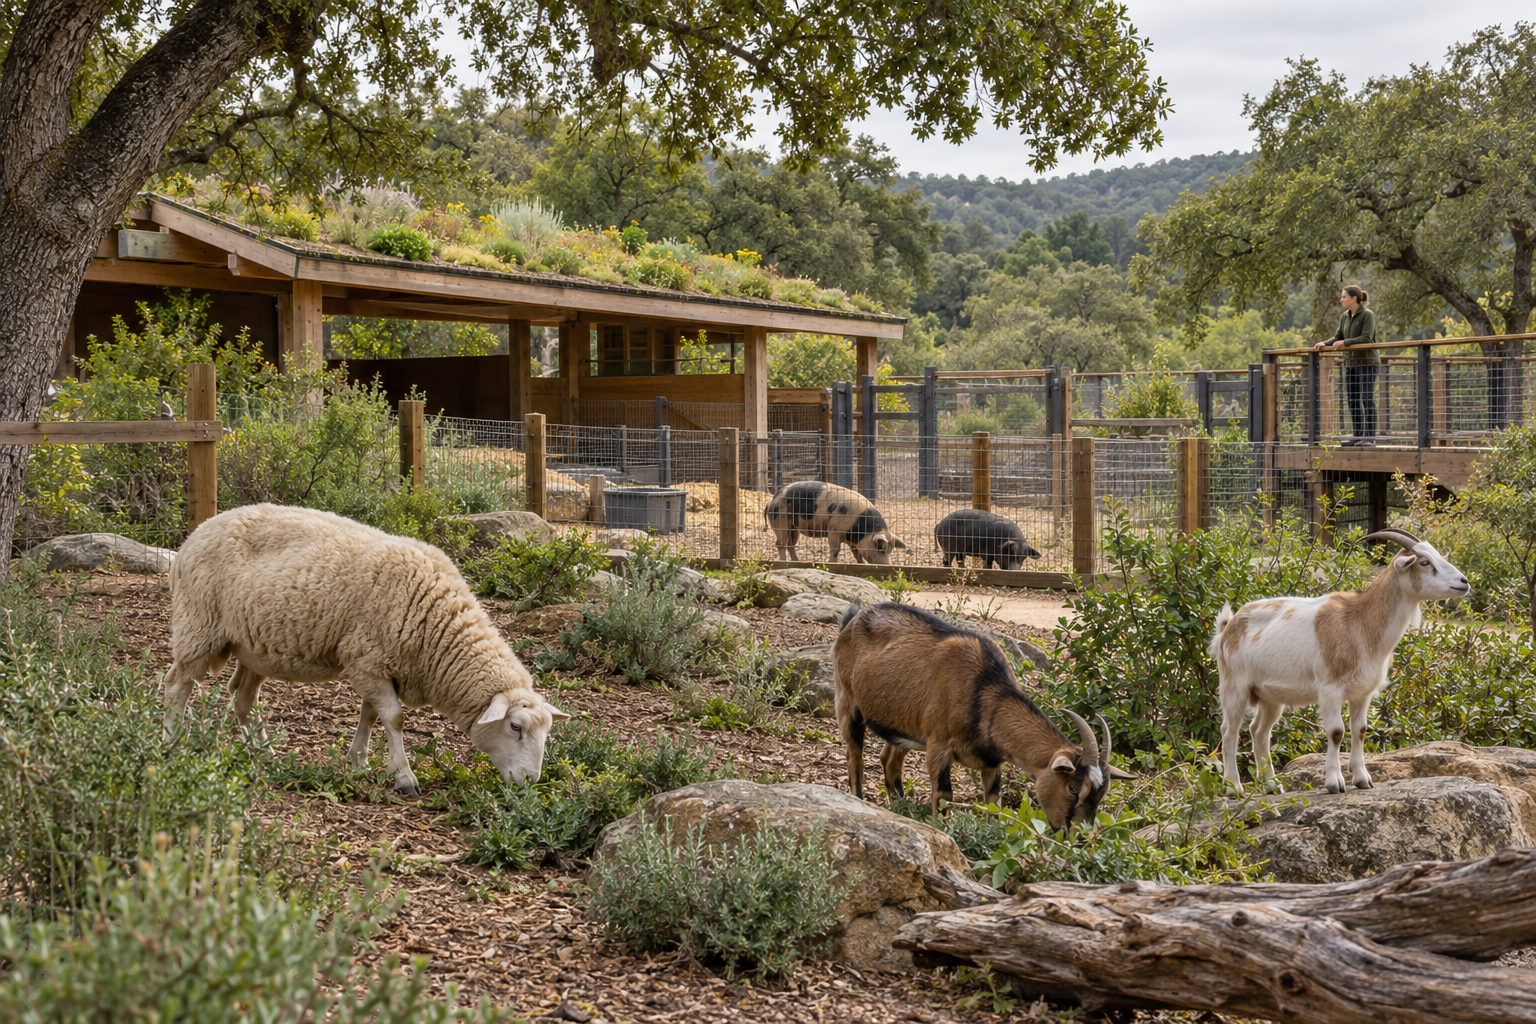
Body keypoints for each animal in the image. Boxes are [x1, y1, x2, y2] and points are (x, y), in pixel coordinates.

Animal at [160, 503, 570, 795]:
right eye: (515, 726)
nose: (531, 782)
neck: (437, 628)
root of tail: (192, 536)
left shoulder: (376, 666)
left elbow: (370, 715)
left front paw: (357, 761)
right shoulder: (366, 662)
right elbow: (395, 718)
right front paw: (403, 776)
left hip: (252, 646)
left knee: (241, 697)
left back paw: (267, 756)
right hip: (198, 625)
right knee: (177, 684)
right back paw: (172, 744)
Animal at [764, 481, 907, 564]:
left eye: (891, 549)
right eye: (881, 548)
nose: (889, 566)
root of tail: (771, 501)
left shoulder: (853, 541)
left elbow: (857, 554)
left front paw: (862, 564)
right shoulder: (833, 529)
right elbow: (835, 550)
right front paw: (831, 563)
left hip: (794, 527)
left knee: (790, 545)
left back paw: (797, 562)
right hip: (781, 521)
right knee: (780, 544)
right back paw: (784, 561)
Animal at [832, 601, 1130, 830]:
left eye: (1101, 796)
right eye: (1073, 789)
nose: (1078, 835)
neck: (985, 690)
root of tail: (851, 620)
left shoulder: (992, 761)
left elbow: (993, 801)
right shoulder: (938, 744)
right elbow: (943, 795)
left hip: (903, 726)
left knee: (889, 760)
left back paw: (902, 808)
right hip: (847, 701)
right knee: (854, 756)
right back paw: (860, 800)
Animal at [1215, 529, 1469, 796]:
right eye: (1424, 562)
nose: (1464, 582)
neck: (1360, 623)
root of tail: (1228, 627)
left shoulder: (1363, 692)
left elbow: (1360, 730)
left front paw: (1362, 779)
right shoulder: (1330, 688)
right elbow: (1336, 732)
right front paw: (1334, 783)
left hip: (1269, 696)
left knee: (1259, 731)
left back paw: (1273, 786)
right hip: (1235, 686)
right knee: (1229, 731)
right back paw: (1233, 787)